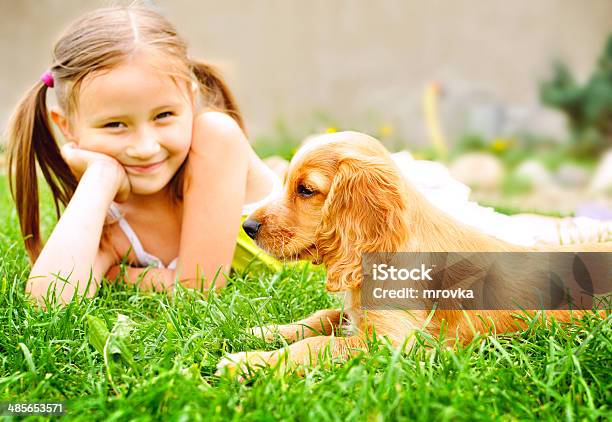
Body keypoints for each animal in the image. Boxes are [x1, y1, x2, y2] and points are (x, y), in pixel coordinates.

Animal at [218, 132, 608, 376]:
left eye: (306, 190)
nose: (248, 226)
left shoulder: (391, 343)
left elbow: (316, 345)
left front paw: (247, 362)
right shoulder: (358, 315)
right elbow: (322, 317)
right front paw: (264, 331)